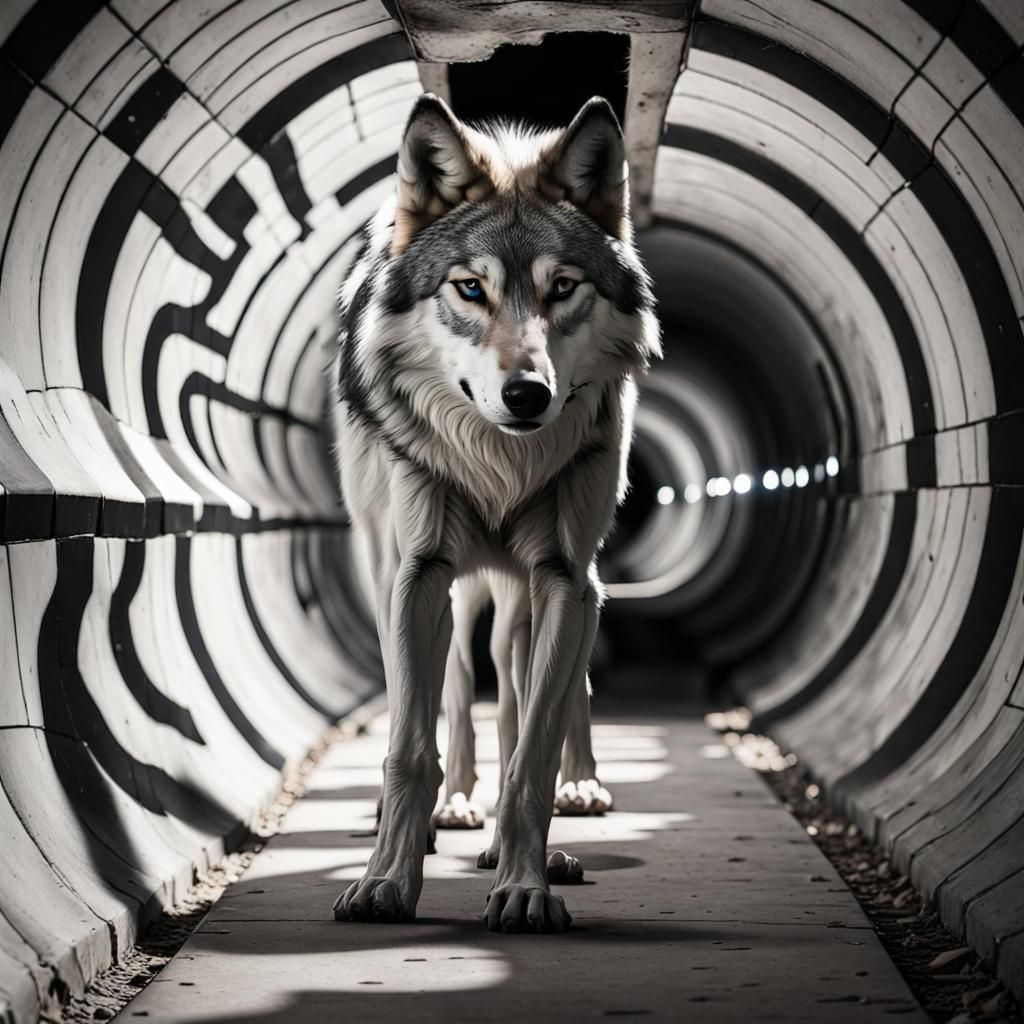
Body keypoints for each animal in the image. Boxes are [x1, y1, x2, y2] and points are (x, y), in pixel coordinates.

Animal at [330, 93, 659, 932]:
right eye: (469, 288)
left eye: (563, 287)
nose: (527, 395)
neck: (498, 468)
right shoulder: (417, 575)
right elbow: (410, 745)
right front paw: (386, 881)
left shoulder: (565, 579)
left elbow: (533, 747)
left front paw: (524, 886)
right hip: (418, 582)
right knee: (454, 695)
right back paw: (451, 810)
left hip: (531, 600)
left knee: (524, 700)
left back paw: (571, 804)